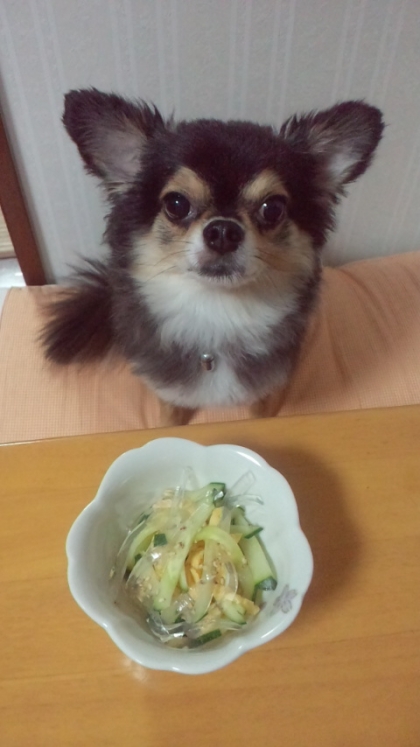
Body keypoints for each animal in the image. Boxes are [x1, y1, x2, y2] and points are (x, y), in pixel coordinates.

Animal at [42, 89, 384, 420]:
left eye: (272, 208)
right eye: (176, 204)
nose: (222, 231)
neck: (217, 313)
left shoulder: (266, 391)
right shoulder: (168, 392)